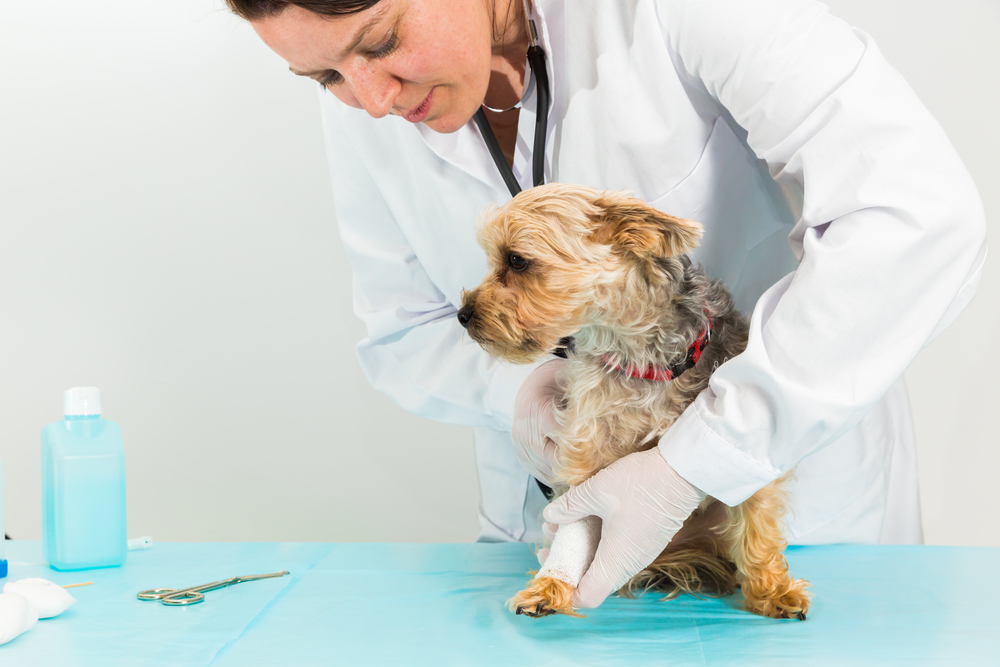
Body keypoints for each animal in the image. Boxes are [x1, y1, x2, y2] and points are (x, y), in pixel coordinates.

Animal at [458, 183, 808, 620]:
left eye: (517, 260)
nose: (462, 313)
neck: (643, 358)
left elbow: (757, 522)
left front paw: (772, 590)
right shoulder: (586, 448)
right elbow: (576, 523)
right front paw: (551, 587)